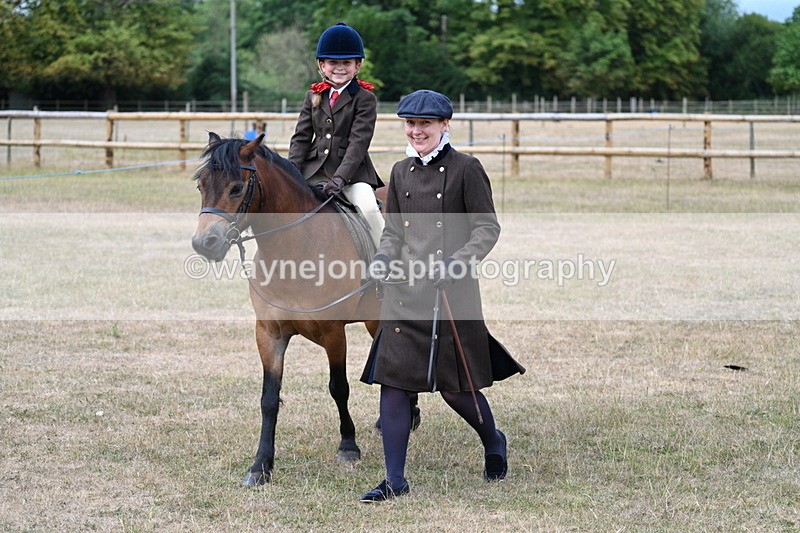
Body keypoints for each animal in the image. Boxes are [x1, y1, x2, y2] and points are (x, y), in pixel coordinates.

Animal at [191, 132, 417, 486]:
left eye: (236, 188)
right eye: (201, 185)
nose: (204, 244)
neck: (295, 249)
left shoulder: (333, 334)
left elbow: (339, 388)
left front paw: (348, 445)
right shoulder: (268, 334)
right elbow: (269, 399)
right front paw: (260, 465)